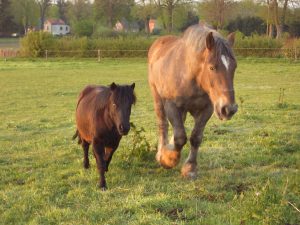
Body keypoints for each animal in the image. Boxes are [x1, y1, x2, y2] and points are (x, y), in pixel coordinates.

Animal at [149, 24, 238, 179]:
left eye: (234, 67)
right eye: (212, 67)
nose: (229, 109)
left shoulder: (207, 109)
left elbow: (195, 137)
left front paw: (190, 167)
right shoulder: (172, 105)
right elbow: (180, 136)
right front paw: (168, 159)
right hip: (157, 99)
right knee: (163, 124)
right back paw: (161, 153)